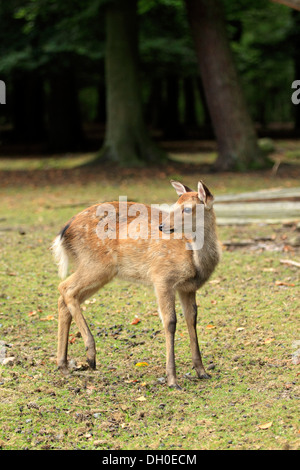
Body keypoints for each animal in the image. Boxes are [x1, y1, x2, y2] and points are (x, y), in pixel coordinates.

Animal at [51, 180, 220, 390]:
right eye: (174, 205)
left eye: (188, 209)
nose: (163, 226)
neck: (195, 260)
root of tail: (64, 232)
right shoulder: (162, 277)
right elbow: (170, 322)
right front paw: (172, 379)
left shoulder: (188, 288)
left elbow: (192, 319)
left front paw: (202, 371)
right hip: (96, 264)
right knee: (65, 288)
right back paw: (90, 354)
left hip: (100, 271)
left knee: (65, 298)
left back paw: (64, 365)